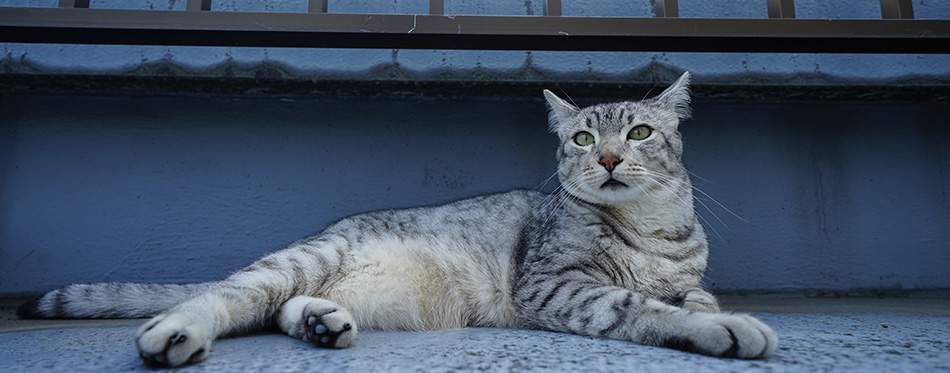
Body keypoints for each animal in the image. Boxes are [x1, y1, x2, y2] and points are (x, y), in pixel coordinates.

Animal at [18, 71, 776, 364]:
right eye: (584, 139)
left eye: (640, 134)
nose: (612, 159)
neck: (650, 230)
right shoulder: (554, 284)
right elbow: (642, 306)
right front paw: (723, 328)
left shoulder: (686, 275)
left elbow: (691, 294)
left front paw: (704, 307)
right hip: (296, 261)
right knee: (227, 299)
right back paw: (176, 332)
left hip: (319, 282)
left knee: (277, 309)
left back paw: (321, 323)